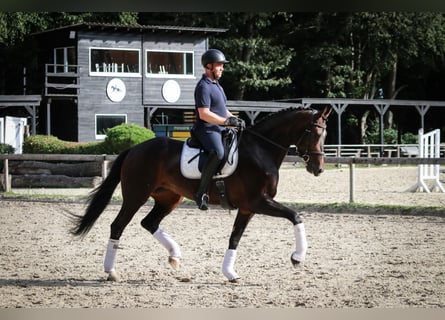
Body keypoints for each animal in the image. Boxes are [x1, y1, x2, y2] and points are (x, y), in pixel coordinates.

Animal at [71, 106, 332, 282]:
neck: (261, 150)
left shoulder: (248, 208)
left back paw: (175, 255)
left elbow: (235, 237)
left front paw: (229, 272)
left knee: (149, 222)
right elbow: (295, 216)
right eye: (313, 133)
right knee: (118, 226)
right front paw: (297, 257)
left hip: (169, 198)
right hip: (136, 196)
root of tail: (134, 149)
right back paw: (111, 271)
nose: (318, 168)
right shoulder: (258, 201)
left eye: (325, 135)